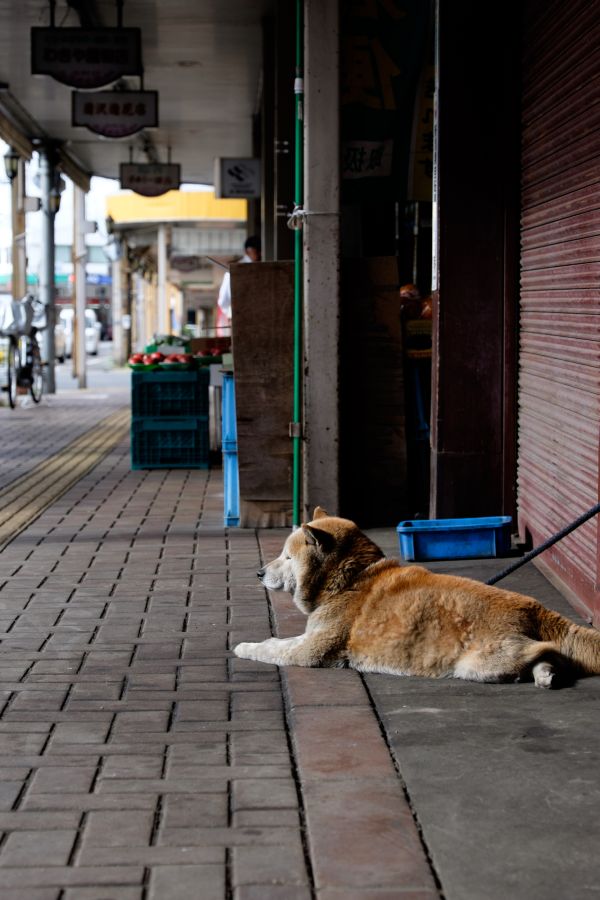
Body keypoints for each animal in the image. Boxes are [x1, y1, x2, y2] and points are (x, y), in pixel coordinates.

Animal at [233, 506, 600, 688]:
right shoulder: (312, 637)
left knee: (546, 649)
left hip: (478, 663)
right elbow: (283, 641)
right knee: (542, 655)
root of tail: (531, 605)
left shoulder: (313, 650)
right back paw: (545, 674)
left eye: (287, 557)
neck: (349, 580)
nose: (259, 573)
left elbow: (274, 649)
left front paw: (245, 647)